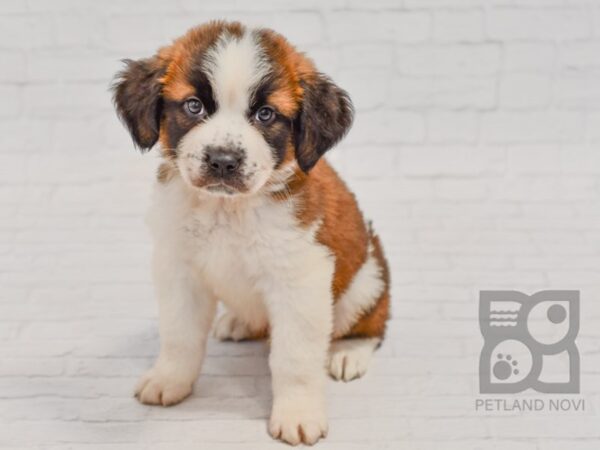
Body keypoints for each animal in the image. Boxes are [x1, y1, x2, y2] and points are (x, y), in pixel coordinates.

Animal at [113, 22, 390, 446]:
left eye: (265, 114)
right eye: (194, 106)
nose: (223, 161)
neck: (227, 210)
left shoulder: (300, 280)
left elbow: (294, 358)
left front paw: (297, 412)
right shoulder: (179, 270)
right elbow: (179, 335)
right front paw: (170, 379)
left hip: (367, 279)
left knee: (372, 324)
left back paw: (348, 352)